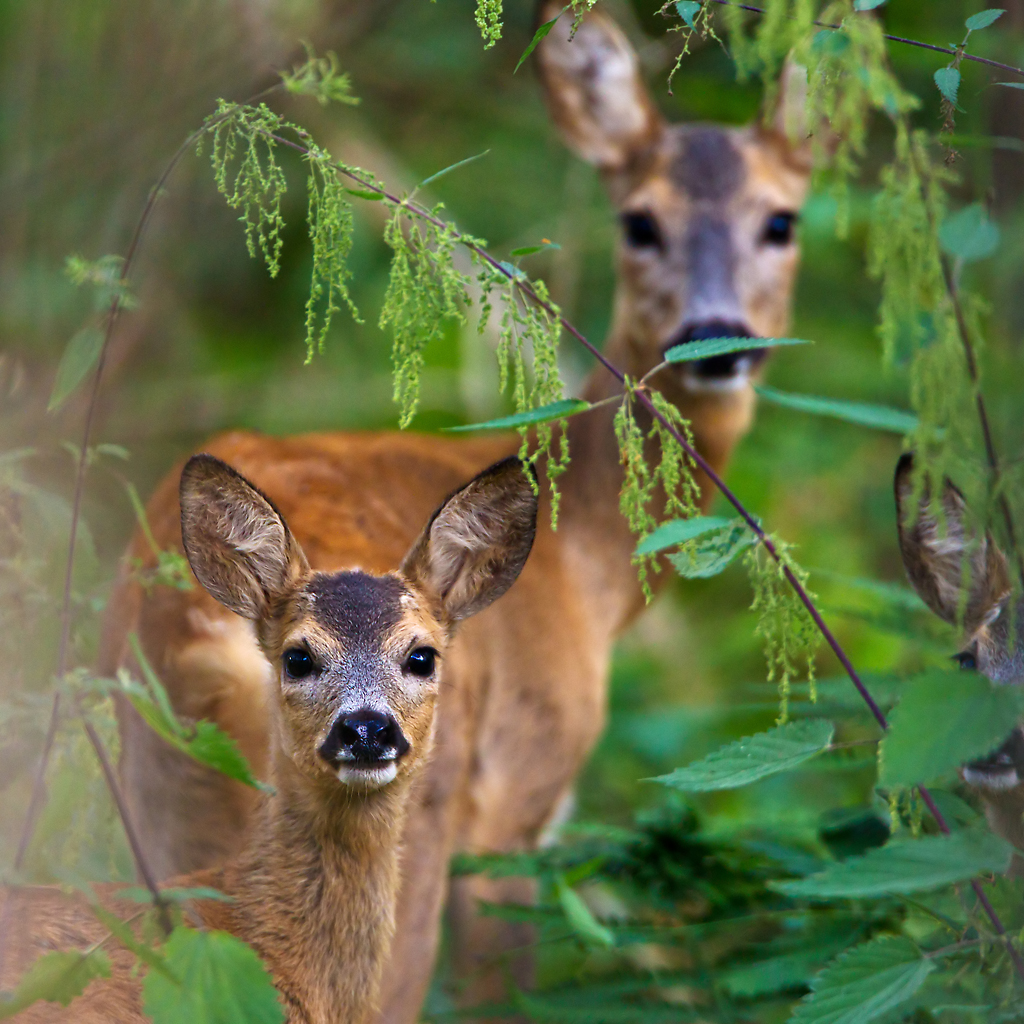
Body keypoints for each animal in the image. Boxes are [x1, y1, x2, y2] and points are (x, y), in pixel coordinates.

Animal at [101, 4, 815, 1019]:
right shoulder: (516, 797)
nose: (715, 338)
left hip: (152, 804)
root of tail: (192, 630)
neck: (587, 565)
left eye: (780, 219)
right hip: (409, 820)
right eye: (640, 221)